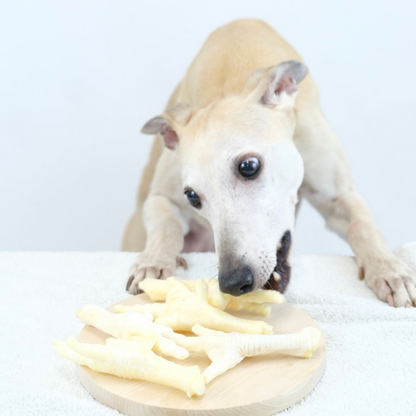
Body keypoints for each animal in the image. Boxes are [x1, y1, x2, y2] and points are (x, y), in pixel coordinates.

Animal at [122, 17, 414, 308]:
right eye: (192, 196)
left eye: (249, 166)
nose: (233, 282)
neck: (227, 76)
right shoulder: (161, 197)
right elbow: (166, 225)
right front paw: (153, 262)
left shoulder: (337, 195)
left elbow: (362, 227)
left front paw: (389, 270)